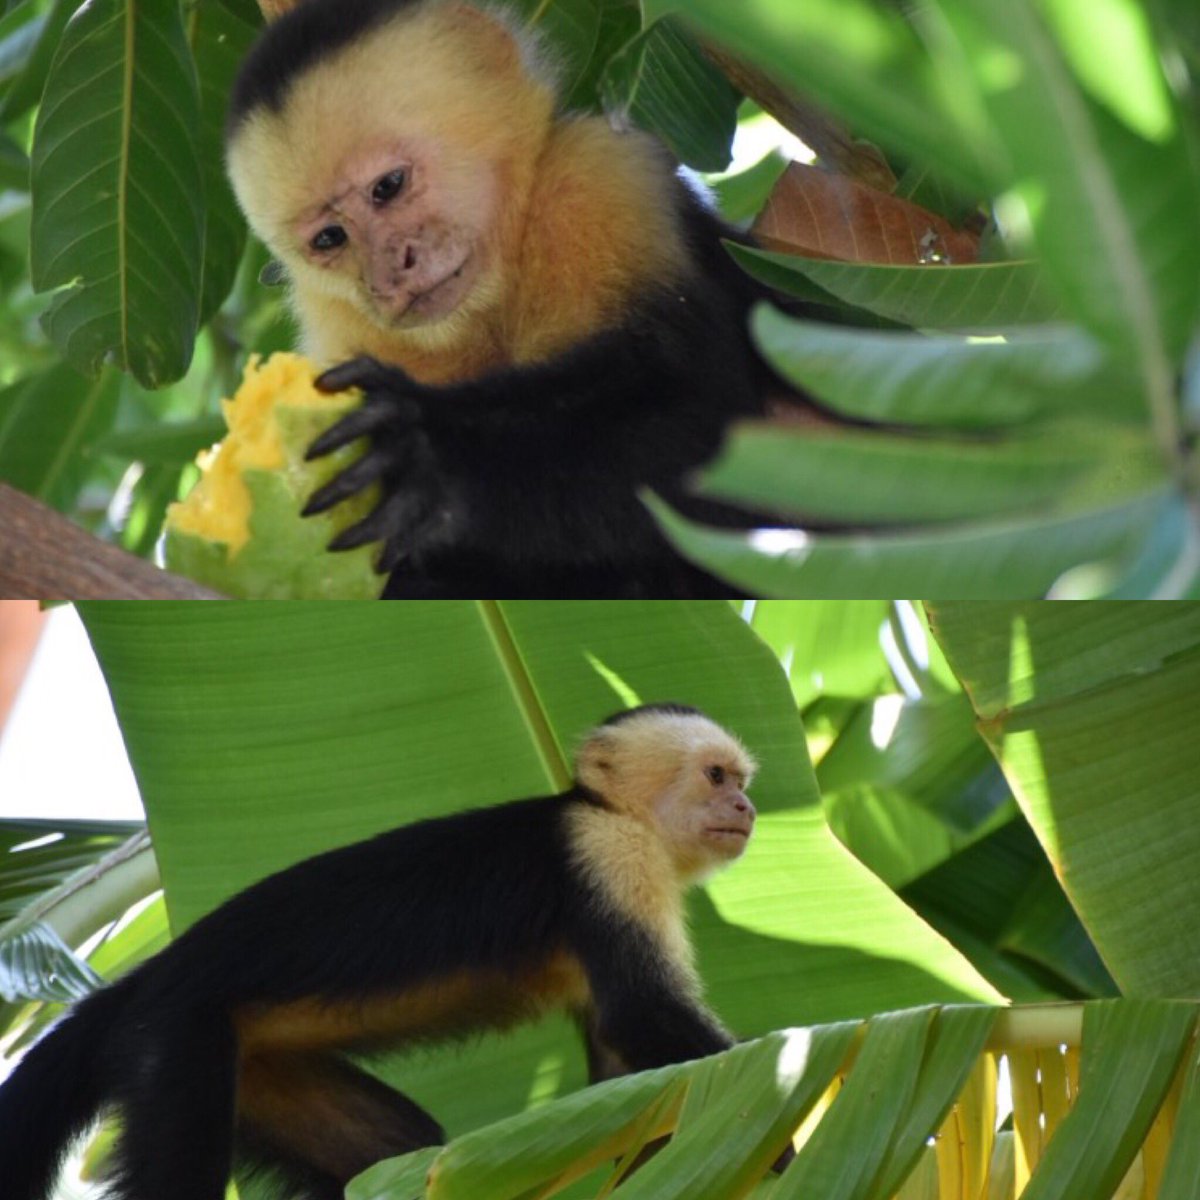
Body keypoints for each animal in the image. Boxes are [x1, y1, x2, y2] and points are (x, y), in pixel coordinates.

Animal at [0, 704, 765, 1200]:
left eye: (740, 781)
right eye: (716, 776)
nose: (749, 810)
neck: (610, 812)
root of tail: (137, 984)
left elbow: (622, 1062)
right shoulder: (608, 857)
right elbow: (643, 1013)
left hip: (250, 1067)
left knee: (401, 1152)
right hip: (169, 1040)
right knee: (179, 1172)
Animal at [223, 0, 794, 599]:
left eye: (388, 187)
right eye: (330, 238)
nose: (389, 273)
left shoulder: (603, 180)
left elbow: (703, 421)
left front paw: (425, 451)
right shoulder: (341, 325)